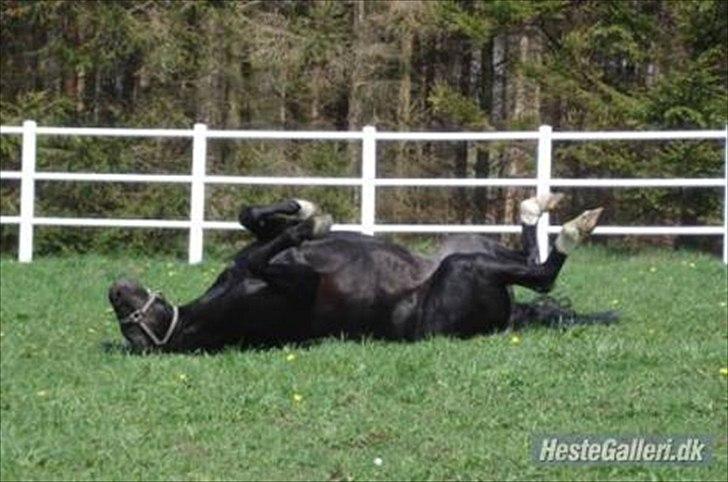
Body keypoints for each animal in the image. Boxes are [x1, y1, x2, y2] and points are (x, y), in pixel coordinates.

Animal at [108, 194, 616, 352]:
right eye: (130, 329)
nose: (115, 288)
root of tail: (511, 316)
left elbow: (250, 218)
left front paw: (305, 211)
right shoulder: (294, 287)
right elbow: (265, 250)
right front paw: (310, 222)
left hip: (475, 248)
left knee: (527, 257)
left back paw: (537, 207)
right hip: (463, 267)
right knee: (542, 273)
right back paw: (573, 228)